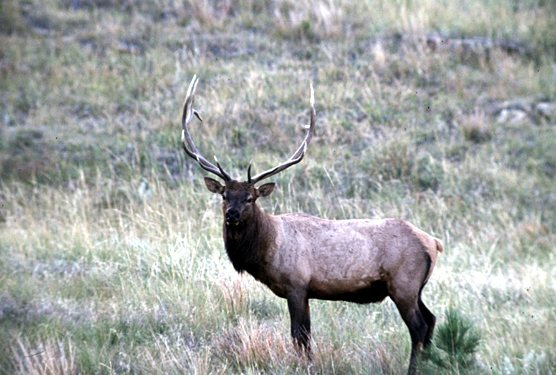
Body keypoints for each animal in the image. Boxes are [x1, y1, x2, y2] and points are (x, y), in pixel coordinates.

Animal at [178, 75, 444, 374]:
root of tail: (434, 242)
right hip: (416, 287)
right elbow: (305, 337)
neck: (267, 250)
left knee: (418, 327)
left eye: (250, 198)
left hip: (404, 283)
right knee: (432, 319)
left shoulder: (296, 284)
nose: (232, 215)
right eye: (224, 195)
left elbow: (299, 336)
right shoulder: (304, 291)